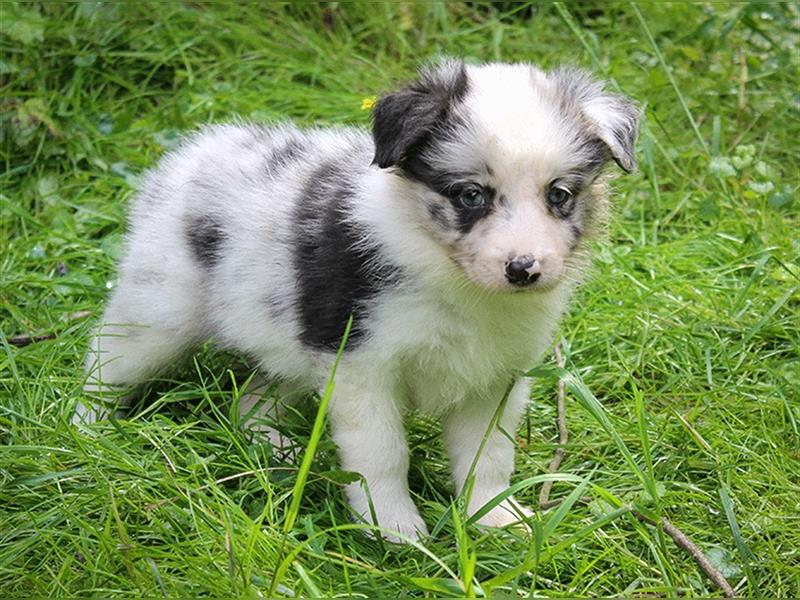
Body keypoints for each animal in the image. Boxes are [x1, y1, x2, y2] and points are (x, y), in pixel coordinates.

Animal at [75, 61, 636, 544]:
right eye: (470, 195)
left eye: (559, 194)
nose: (523, 270)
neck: (449, 278)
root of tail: (193, 152)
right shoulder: (362, 365)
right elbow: (382, 453)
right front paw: (395, 529)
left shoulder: (495, 377)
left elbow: (488, 455)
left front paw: (495, 519)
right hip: (159, 312)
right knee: (105, 364)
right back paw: (84, 433)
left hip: (288, 337)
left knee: (249, 402)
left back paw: (277, 450)